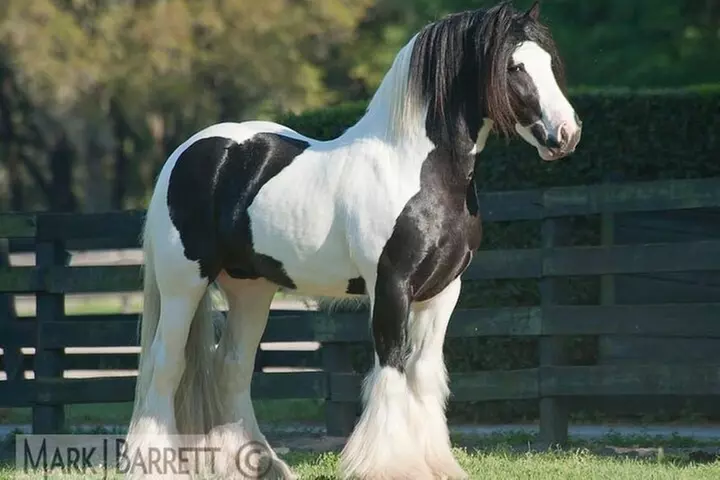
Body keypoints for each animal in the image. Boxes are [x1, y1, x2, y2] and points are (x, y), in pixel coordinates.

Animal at [125, 1, 581, 478]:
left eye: (549, 63)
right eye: (514, 66)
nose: (566, 135)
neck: (417, 170)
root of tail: (187, 152)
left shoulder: (443, 292)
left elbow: (423, 371)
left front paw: (435, 463)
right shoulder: (391, 286)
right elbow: (391, 365)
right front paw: (386, 463)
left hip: (251, 289)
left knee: (231, 367)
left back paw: (256, 464)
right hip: (184, 283)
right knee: (166, 362)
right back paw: (151, 461)